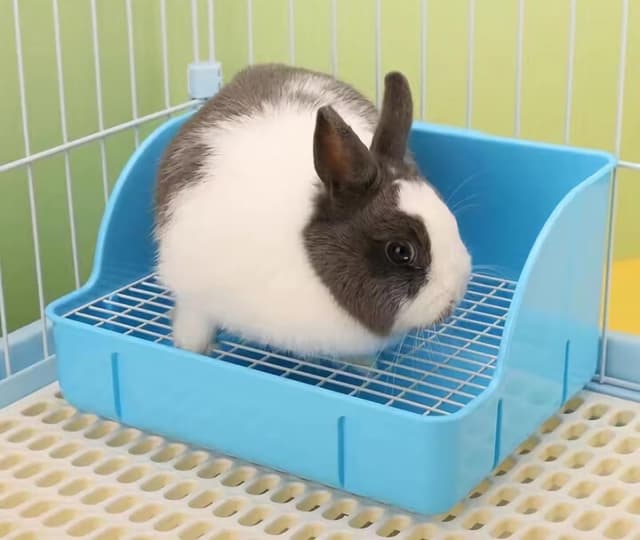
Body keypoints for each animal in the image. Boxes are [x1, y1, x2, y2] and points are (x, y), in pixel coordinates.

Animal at [154, 63, 471, 361]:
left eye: (450, 217)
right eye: (400, 251)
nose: (456, 293)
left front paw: (362, 365)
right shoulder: (193, 295)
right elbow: (193, 324)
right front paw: (193, 349)